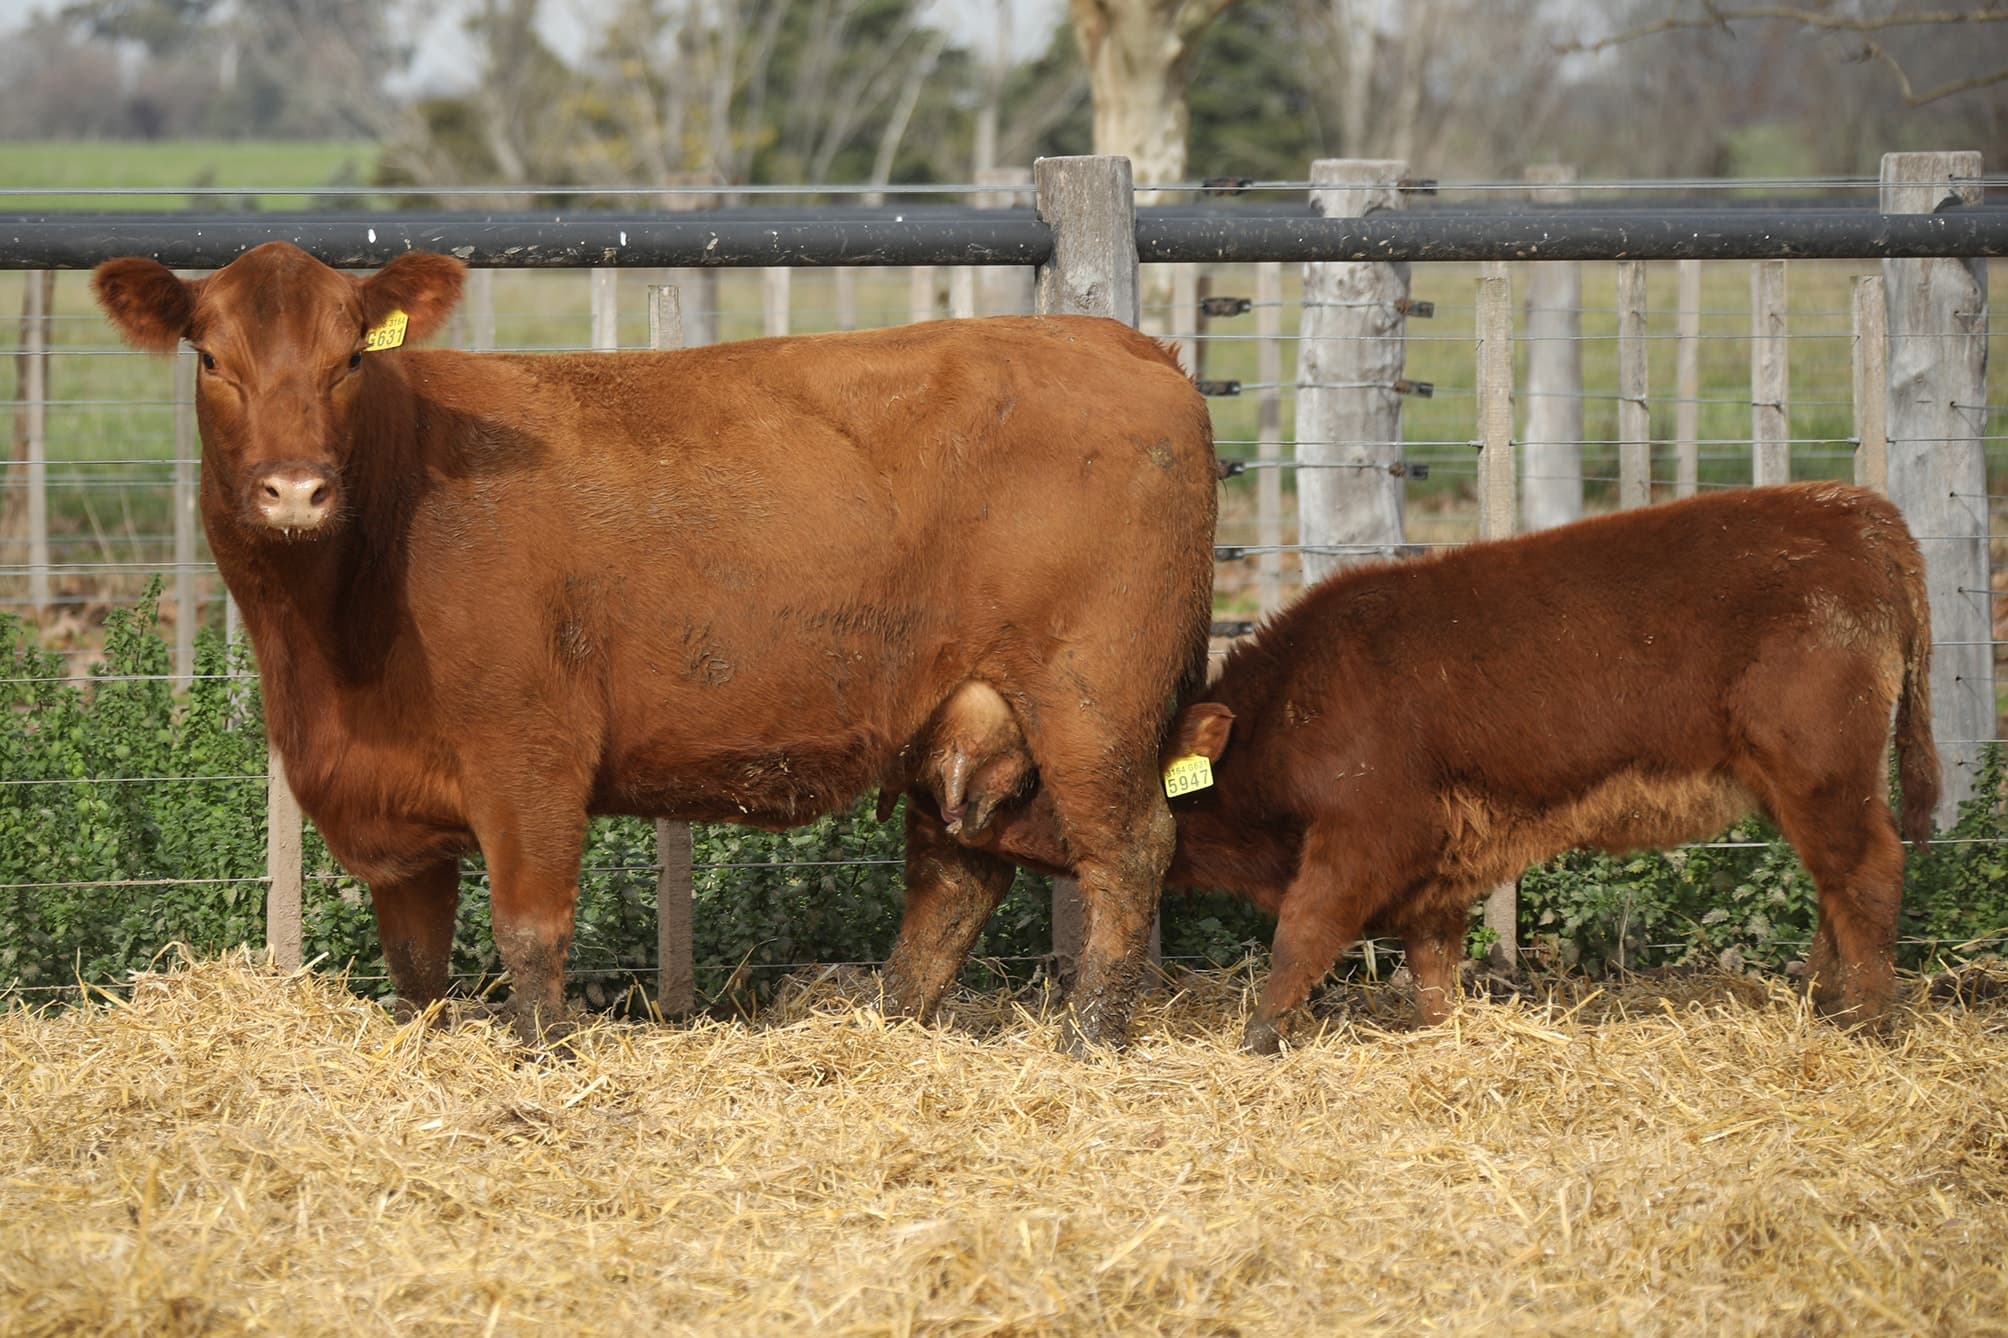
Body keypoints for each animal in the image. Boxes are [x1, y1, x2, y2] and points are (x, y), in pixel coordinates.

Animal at [92, 242, 1219, 1050]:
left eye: (351, 359)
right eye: (210, 360)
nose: (295, 489)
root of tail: (1118, 342)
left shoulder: (531, 754)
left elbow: (530, 935)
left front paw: (542, 1058)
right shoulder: (390, 799)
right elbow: (414, 964)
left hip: (1092, 701)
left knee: (1128, 851)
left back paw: (1089, 1039)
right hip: (964, 711)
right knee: (953, 876)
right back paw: (891, 1023)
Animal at [917, 483, 1938, 1053]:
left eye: (1033, 770)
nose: (954, 806)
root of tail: (1862, 514)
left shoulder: (1368, 833)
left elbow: (1302, 933)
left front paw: (1260, 1035)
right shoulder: (1440, 860)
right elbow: (1433, 962)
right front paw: (1434, 1030)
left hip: (1822, 771)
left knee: (1869, 872)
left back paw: (1869, 1023)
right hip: (1802, 785)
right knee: (1834, 886)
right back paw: (1825, 1002)